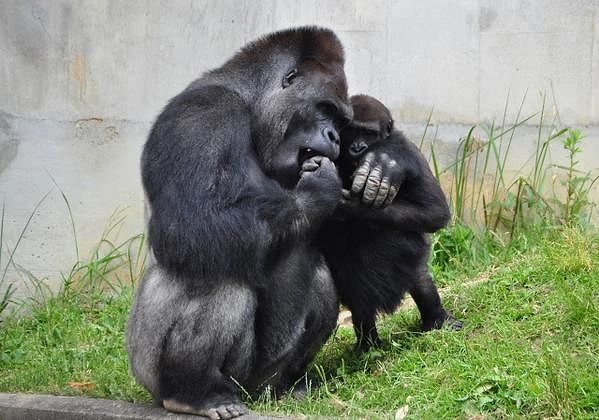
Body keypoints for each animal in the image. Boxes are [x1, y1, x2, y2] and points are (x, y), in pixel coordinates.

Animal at [126, 27, 352, 418]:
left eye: (340, 121)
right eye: (325, 109)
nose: (335, 137)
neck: (249, 102)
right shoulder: (203, 116)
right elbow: (188, 226)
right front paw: (315, 195)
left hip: (257, 381)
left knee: (320, 278)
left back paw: (284, 386)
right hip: (147, 369)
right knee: (216, 274)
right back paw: (194, 392)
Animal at [322, 94, 462, 352]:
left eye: (369, 133)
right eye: (351, 131)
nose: (358, 147)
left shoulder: (413, 154)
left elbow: (434, 211)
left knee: (418, 275)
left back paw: (437, 319)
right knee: (357, 292)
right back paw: (367, 344)